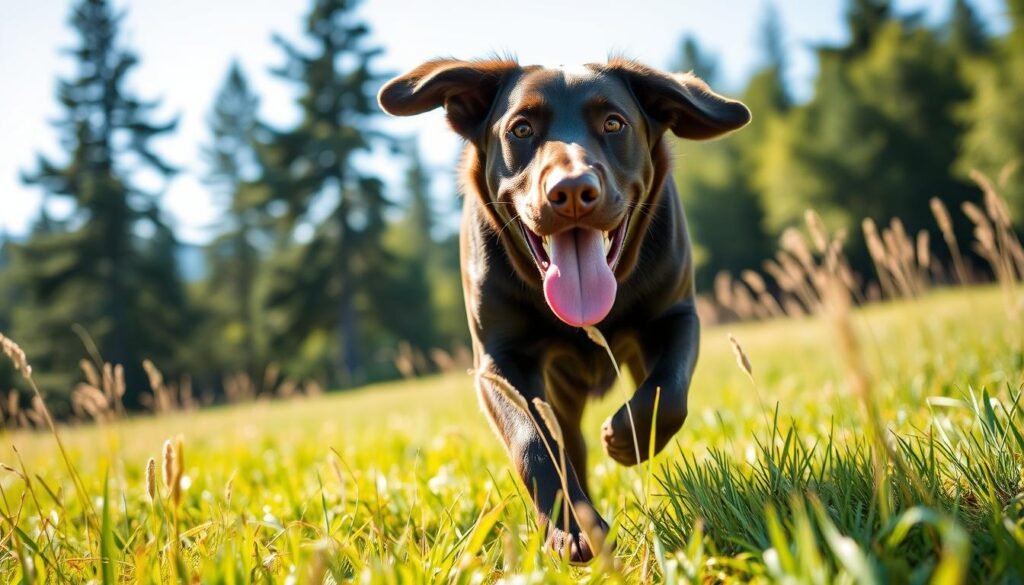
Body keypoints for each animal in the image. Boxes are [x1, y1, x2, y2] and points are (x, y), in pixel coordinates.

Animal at [380, 58, 749, 561]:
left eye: (613, 123)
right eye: (521, 129)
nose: (571, 190)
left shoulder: (676, 317)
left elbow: (666, 393)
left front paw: (628, 438)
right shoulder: (498, 362)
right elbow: (534, 441)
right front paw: (571, 527)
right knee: (567, 442)